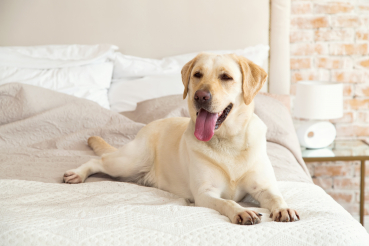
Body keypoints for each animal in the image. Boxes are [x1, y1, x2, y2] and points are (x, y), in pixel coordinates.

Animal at [63, 53, 300, 225]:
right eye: (197, 74)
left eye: (226, 77)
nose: (200, 96)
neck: (228, 142)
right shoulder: (205, 194)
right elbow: (227, 202)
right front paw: (242, 211)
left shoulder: (263, 187)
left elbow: (276, 196)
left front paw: (284, 208)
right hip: (128, 162)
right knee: (98, 160)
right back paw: (77, 173)